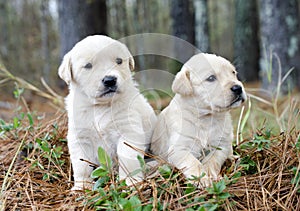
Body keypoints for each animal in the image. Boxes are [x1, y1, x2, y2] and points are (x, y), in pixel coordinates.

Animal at [58, 35, 157, 190]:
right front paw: (82, 186)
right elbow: (81, 165)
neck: (100, 107)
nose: (110, 80)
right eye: (88, 66)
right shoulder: (80, 137)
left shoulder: (128, 131)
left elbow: (127, 157)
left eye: (119, 61)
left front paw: (130, 181)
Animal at [150, 53, 246, 187]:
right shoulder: (178, 148)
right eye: (211, 78)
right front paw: (201, 178)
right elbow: (192, 162)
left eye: (233, 73)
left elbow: (213, 159)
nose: (238, 88)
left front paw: (209, 172)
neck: (206, 117)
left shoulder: (222, 145)